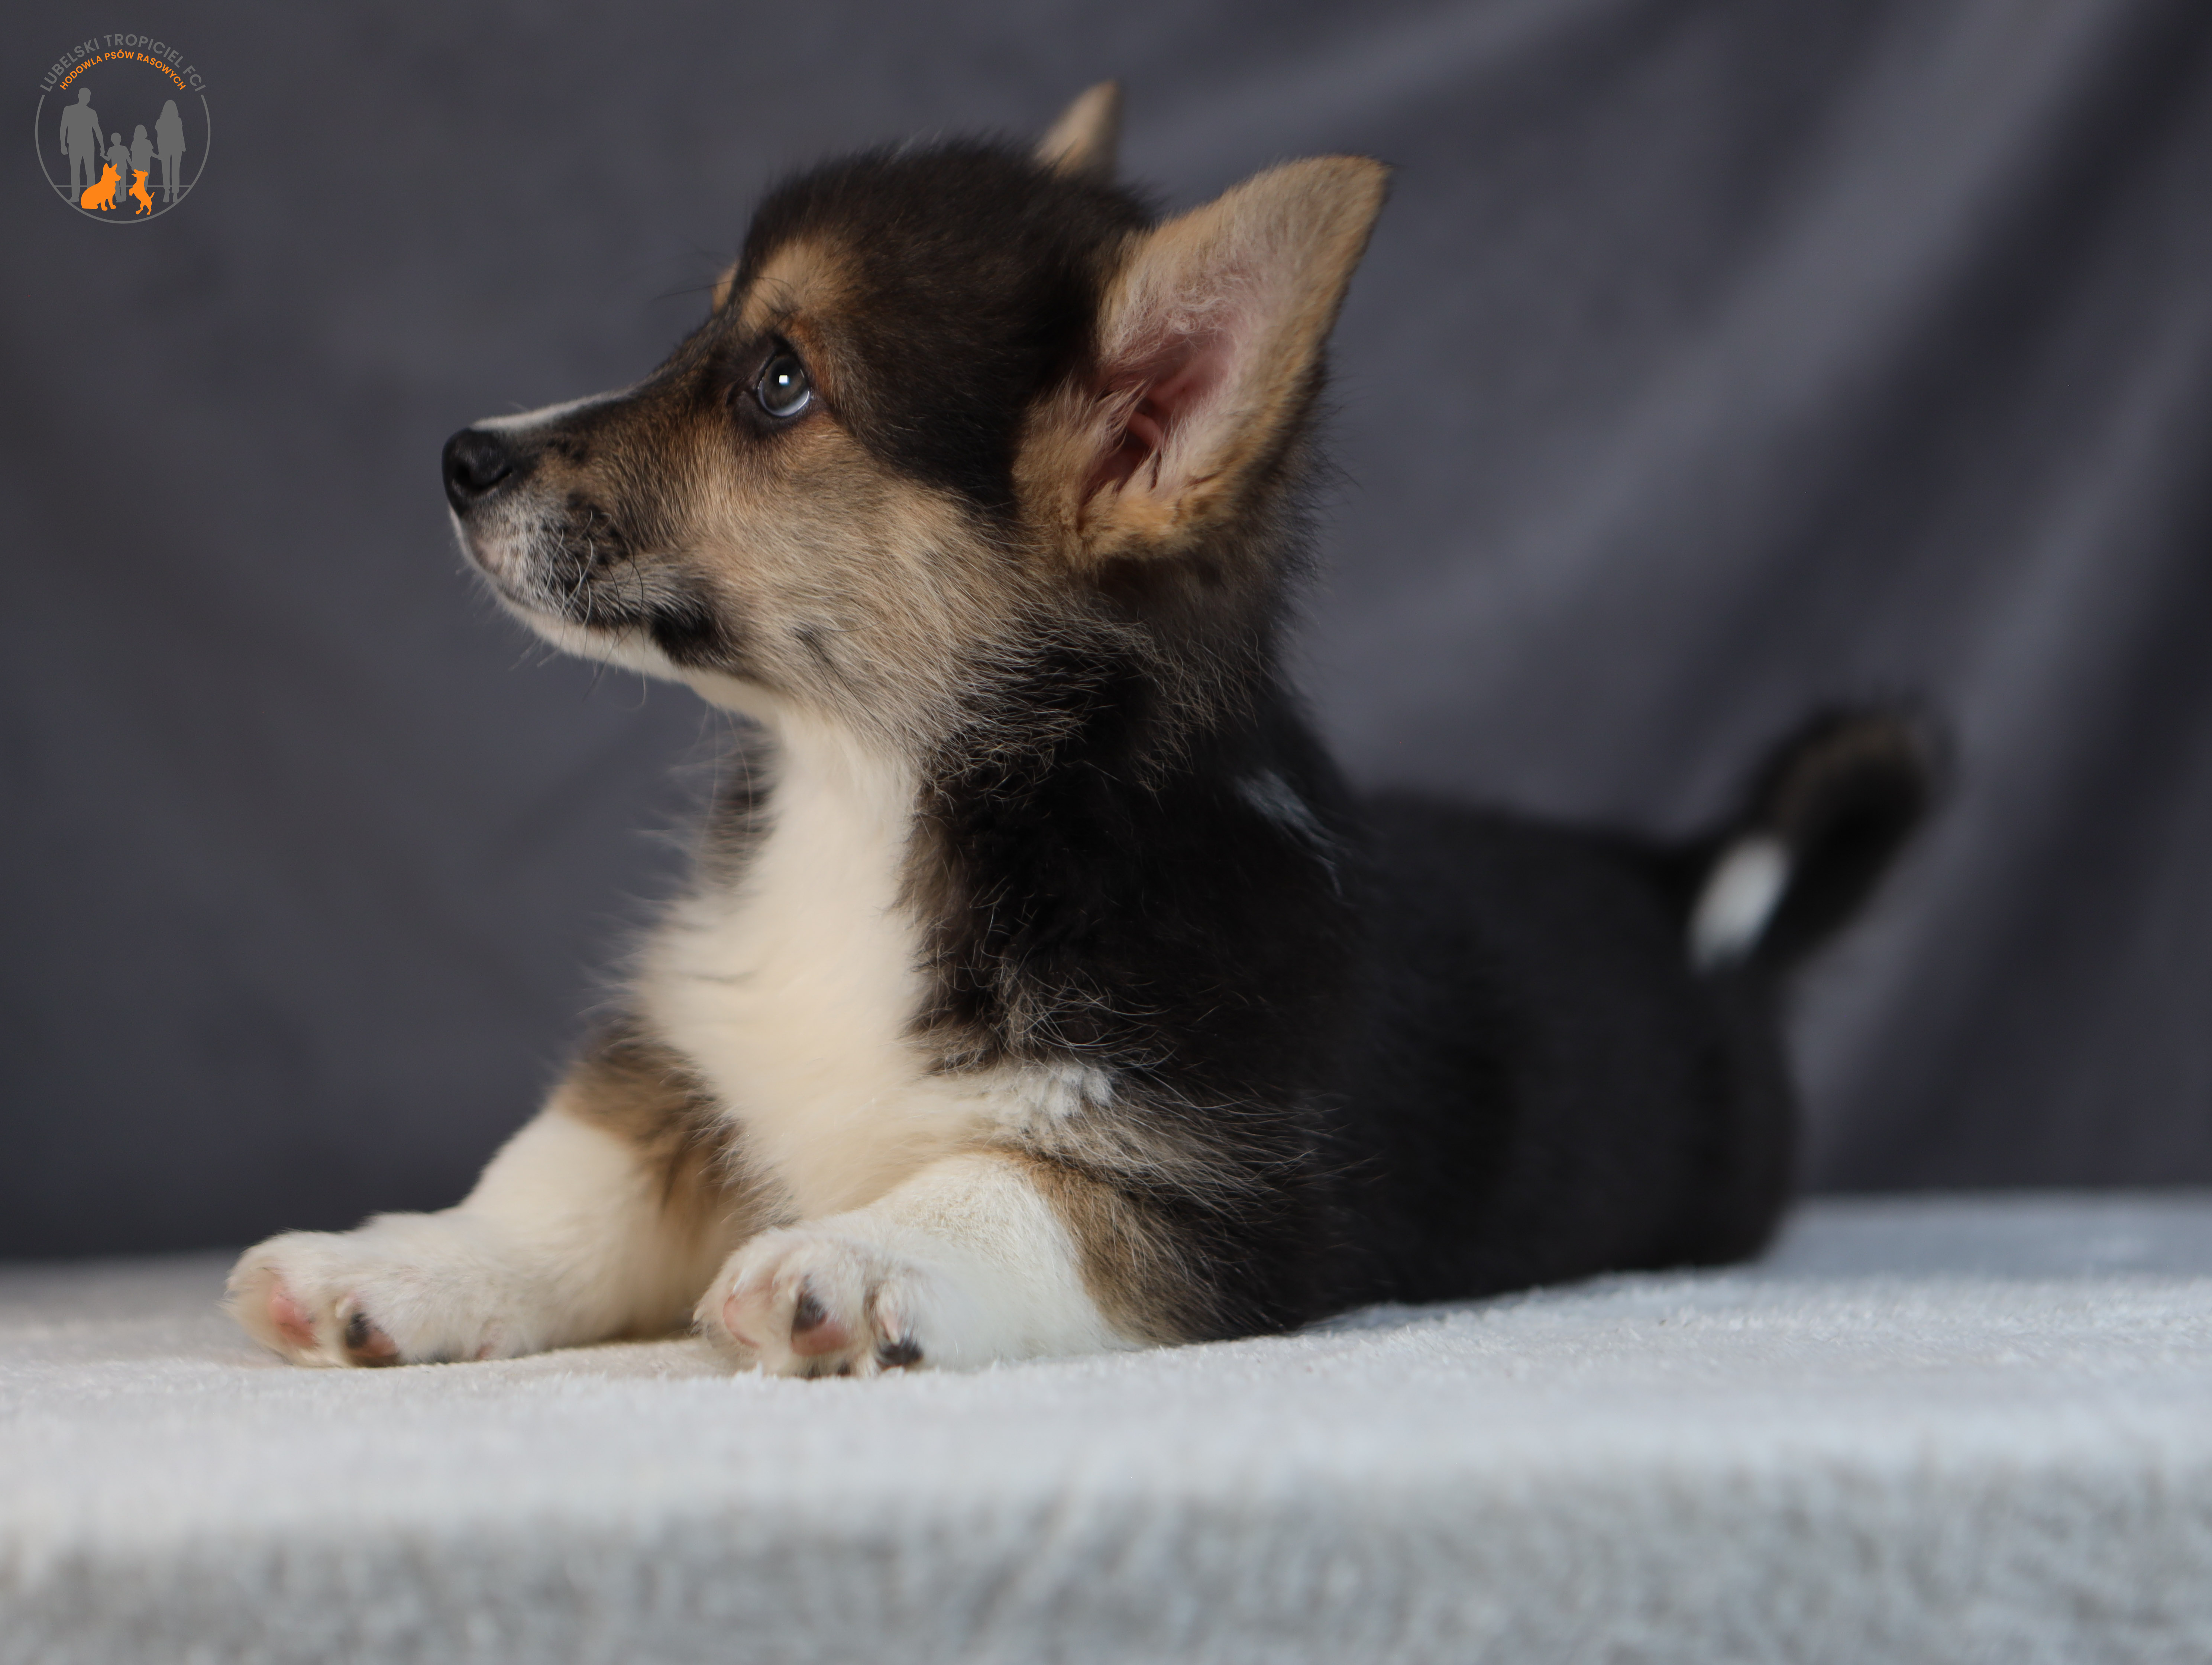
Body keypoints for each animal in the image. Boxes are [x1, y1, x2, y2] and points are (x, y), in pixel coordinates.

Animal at [228, 85, 1931, 1376]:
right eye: (703, 337)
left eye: (777, 382)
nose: (464, 458)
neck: (876, 791)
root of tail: (1686, 899)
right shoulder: (685, 1065)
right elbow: (556, 1182)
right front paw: (396, 1269)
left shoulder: (1206, 1193)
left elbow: (996, 1189)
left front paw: (842, 1260)